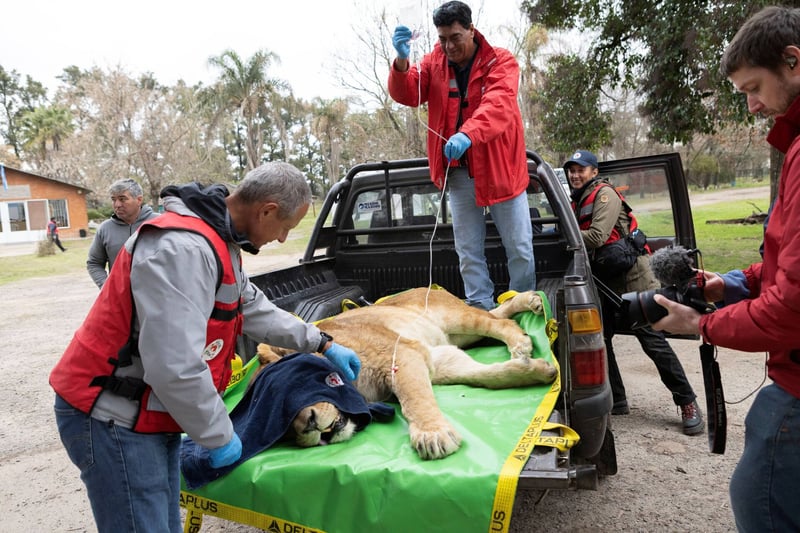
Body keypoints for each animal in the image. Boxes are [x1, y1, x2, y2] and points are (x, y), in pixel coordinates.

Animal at [256, 287, 557, 460]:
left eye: (296, 385)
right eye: (283, 431)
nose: (309, 427)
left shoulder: (401, 355)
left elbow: (414, 399)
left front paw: (433, 436)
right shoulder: (437, 358)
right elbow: (485, 376)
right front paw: (538, 371)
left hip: (456, 319)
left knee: (499, 322)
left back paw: (521, 341)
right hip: (457, 335)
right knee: (497, 312)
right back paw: (530, 302)